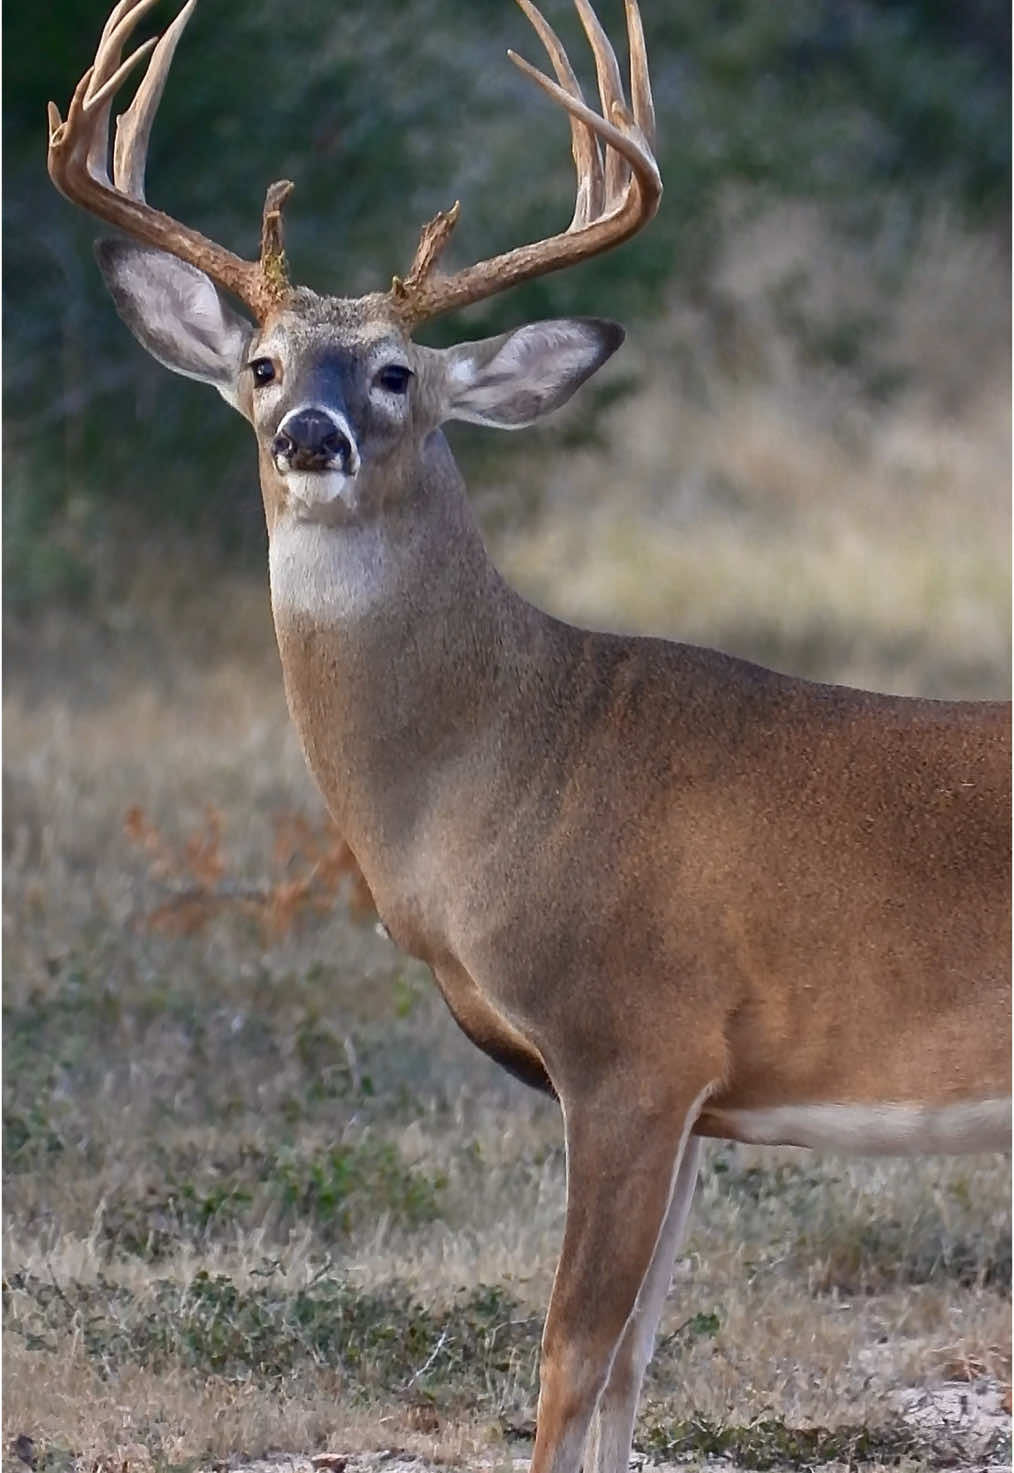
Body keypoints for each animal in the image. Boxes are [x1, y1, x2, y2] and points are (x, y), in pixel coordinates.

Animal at [51, 2, 1008, 1473]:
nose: (309, 432)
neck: (509, 767)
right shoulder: (696, 1097)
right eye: (262, 364)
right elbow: (628, 1374)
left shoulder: (632, 1044)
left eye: (396, 372)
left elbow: (568, 1362)